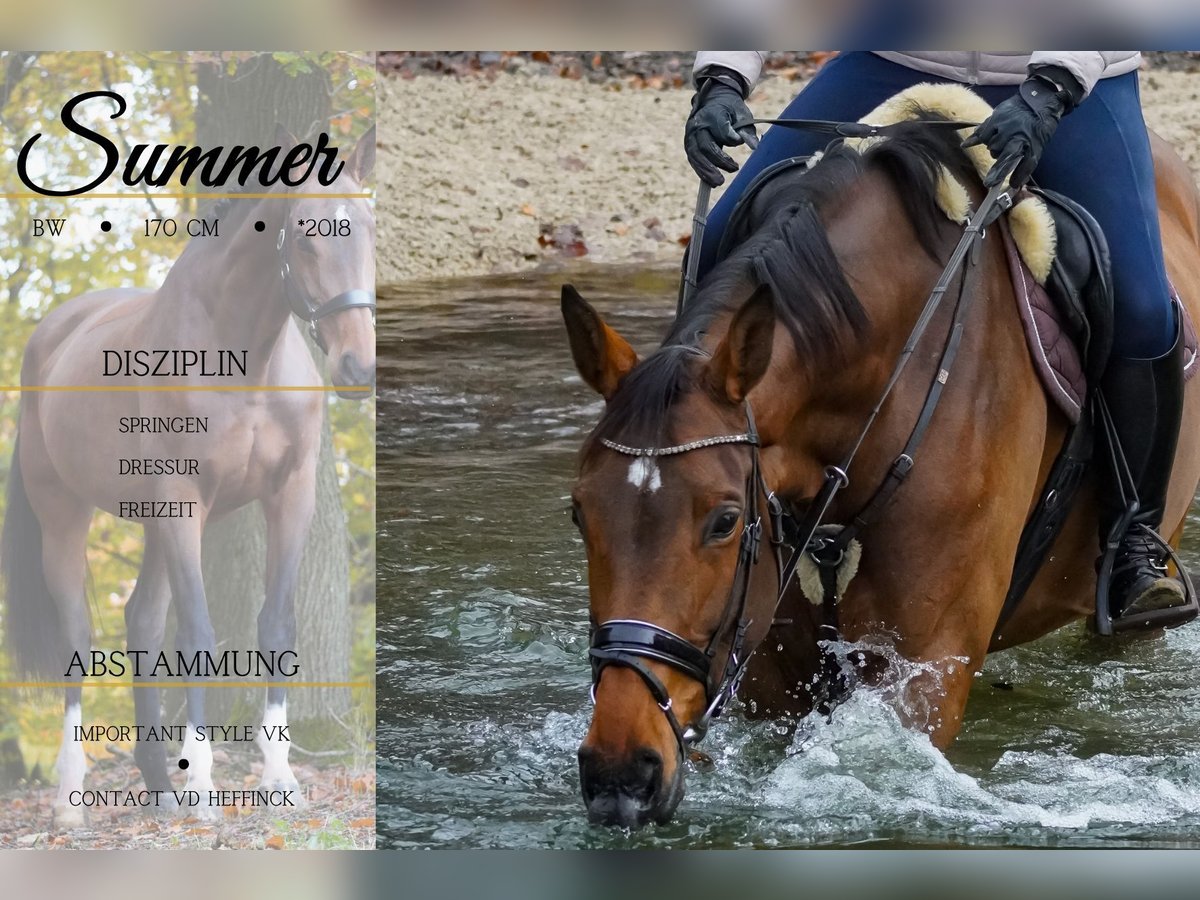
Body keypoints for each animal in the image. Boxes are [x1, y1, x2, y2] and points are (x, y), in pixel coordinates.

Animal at [1, 125, 376, 827]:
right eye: (305, 235)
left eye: (368, 227)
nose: (356, 365)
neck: (241, 356)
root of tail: (49, 338)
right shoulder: (186, 499)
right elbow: (199, 633)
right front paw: (202, 784)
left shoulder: (290, 495)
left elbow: (274, 624)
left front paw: (278, 779)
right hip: (64, 514)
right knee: (77, 635)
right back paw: (72, 797)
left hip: (153, 522)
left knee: (142, 620)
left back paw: (157, 783)